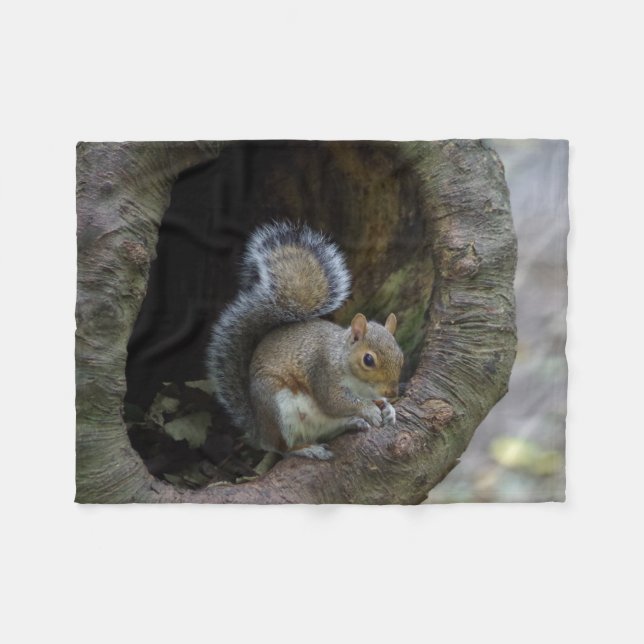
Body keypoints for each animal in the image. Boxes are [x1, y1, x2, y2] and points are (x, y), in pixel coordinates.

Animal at [206, 221, 403, 460]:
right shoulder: (323, 372)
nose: (392, 393)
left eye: (401, 356)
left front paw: (388, 409)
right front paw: (369, 409)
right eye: (368, 360)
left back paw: (352, 423)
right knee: (281, 448)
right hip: (278, 409)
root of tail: (259, 428)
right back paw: (308, 448)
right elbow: (335, 401)